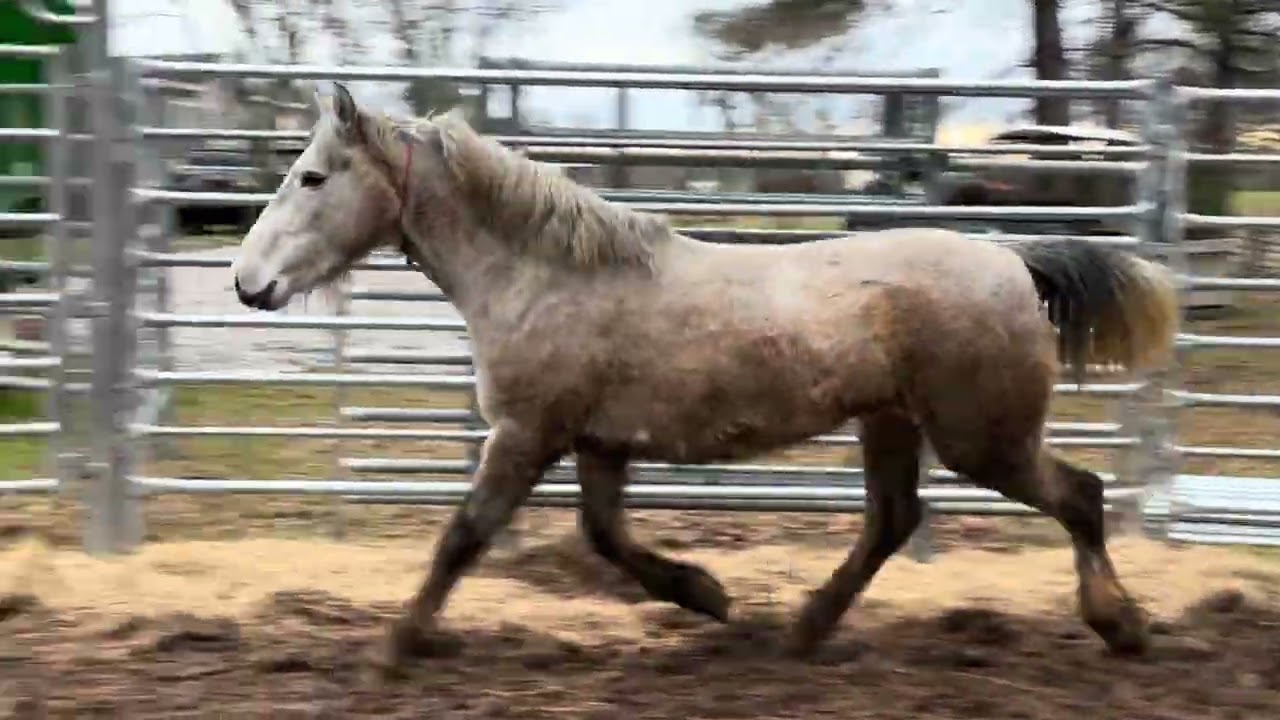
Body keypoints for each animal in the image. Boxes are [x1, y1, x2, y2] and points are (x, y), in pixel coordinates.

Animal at [230, 83, 1179, 671]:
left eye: (311, 176)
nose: (247, 283)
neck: (547, 274)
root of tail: (1012, 258)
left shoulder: (528, 433)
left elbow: (465, 536)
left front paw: (395, 648)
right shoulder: (598, 442)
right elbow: (605, 538)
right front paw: (709, 596)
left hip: (983, 438)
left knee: (1081, 496)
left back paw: (1124, 628)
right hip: (892, 423)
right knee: (892, 522)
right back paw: (800, 632)